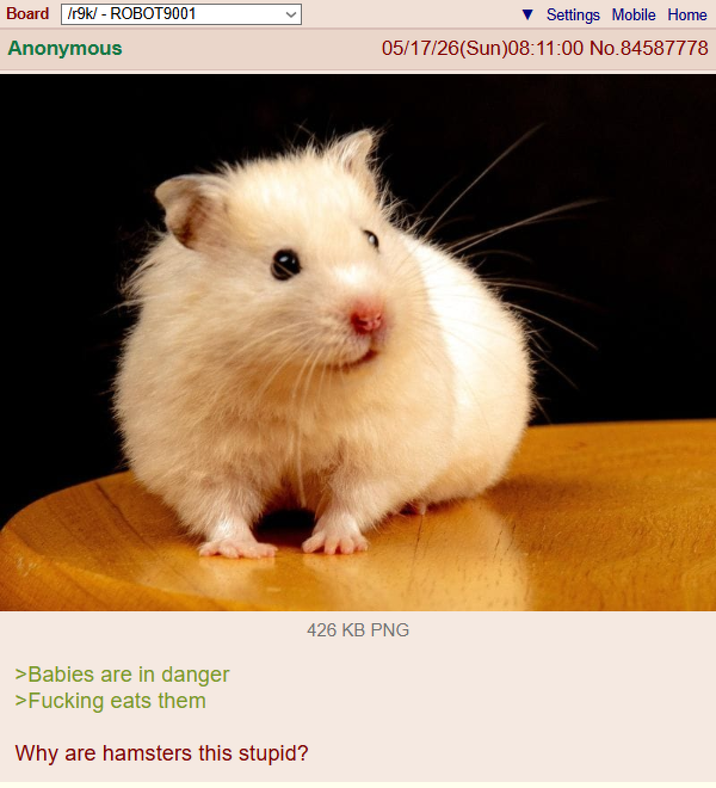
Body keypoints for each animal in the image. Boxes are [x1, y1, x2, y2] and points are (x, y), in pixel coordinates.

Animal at [115, 131, 532, 558]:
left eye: (372, 238)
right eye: (283, 264)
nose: (372, 317)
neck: (301, 380)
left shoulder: (378, 449)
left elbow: (351, 500)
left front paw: (333, 546)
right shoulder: (198, 456)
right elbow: (219, 506)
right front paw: (243, 551)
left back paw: (415, 505)